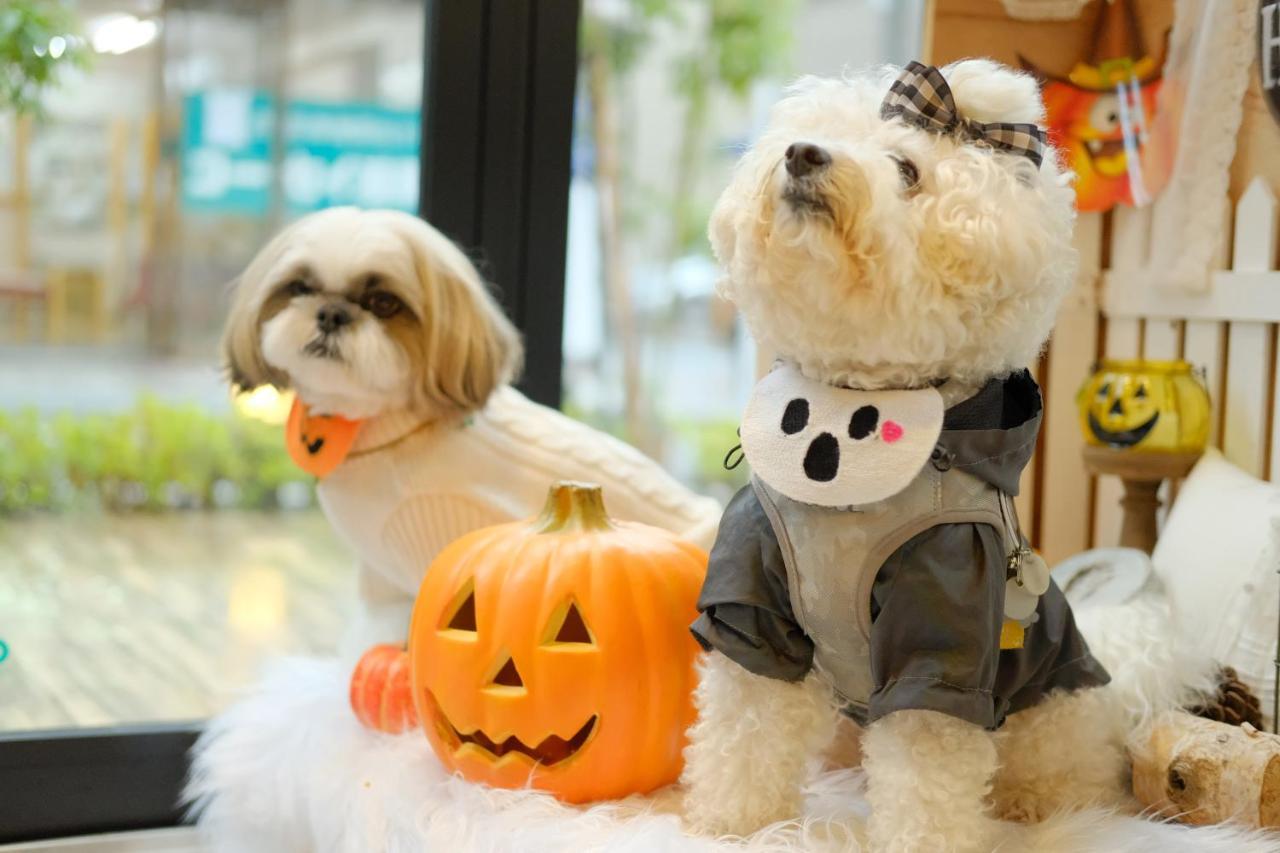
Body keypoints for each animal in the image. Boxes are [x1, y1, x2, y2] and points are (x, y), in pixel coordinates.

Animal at [686, 61, 1126, 850]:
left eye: (906, 169)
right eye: (818, 131)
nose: (802, 154)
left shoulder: (945, 613)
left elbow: (926, 768)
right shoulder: (752, 596)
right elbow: (747, 724)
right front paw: (732, 824)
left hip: (1053, 708)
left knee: (1058, 768)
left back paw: (1044, 806)